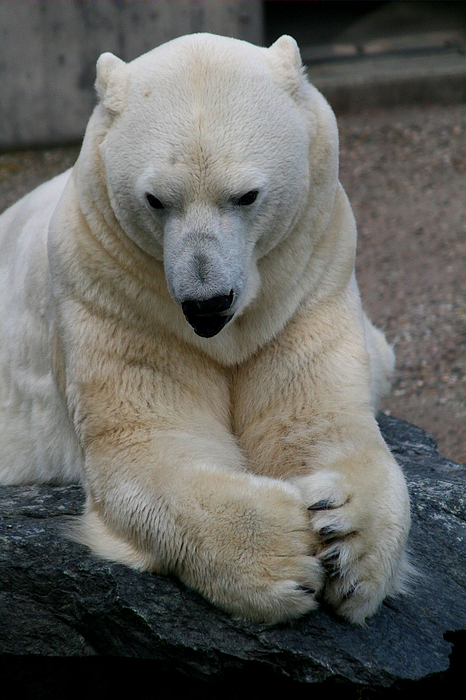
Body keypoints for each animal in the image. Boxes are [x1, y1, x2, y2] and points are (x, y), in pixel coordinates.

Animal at [0, 32, 412, 624]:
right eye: (155, 199)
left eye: (246, 195)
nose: (206, 303)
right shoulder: (112, 291)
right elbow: (151, 439)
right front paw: (279, 556)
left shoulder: (309, 274)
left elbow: (314, 419)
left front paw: (348, 542)